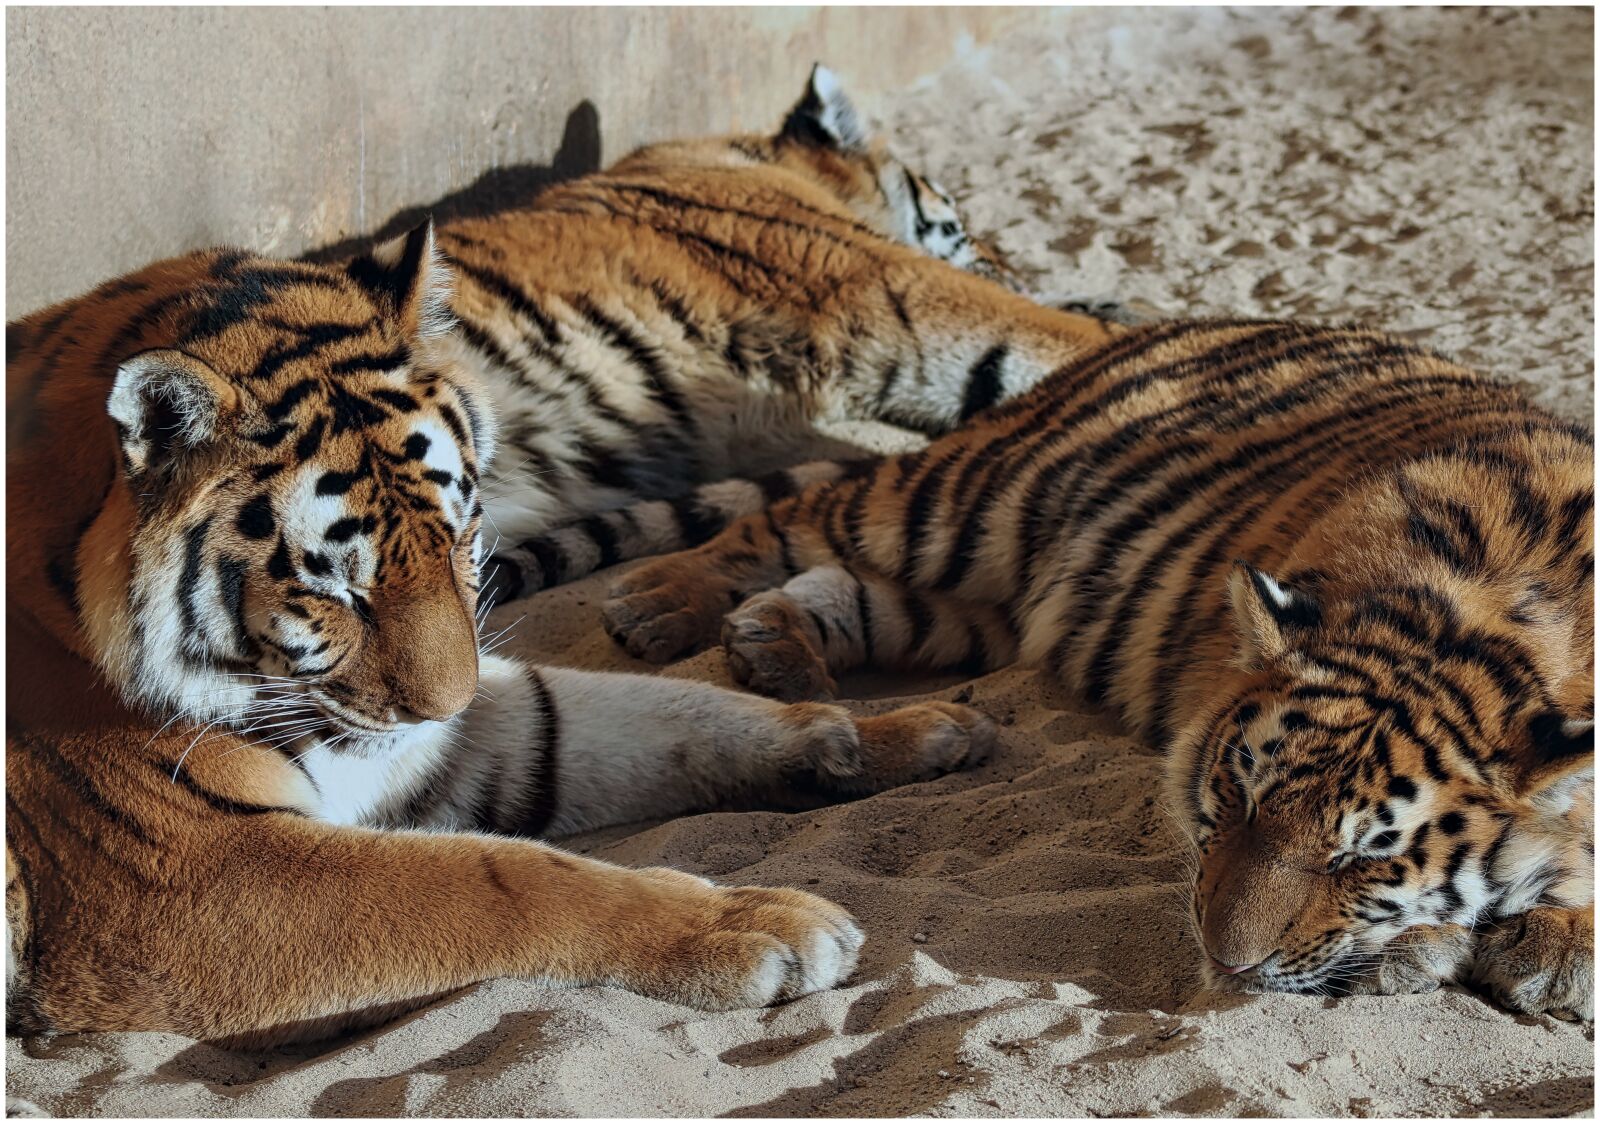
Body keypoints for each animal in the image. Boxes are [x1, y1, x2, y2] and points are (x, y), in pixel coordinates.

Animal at [3, 63, 1129, 1043]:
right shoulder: (199, 879)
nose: (436, 712)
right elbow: (502, 880)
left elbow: (664, 715)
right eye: (335, 587)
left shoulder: (464, 719)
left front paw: (893, 731)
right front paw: (758, 925)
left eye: (460, 536)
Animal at [600, 318, 1595, 1020]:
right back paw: (659, 604)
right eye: (1237, 801)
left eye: (1362, 859)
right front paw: (1440, 951)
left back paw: (774, 643)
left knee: (854, 590)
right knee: (786, 521)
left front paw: (1548, 945)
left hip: (994, 604)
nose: (1225, 958)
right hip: (966, 503)